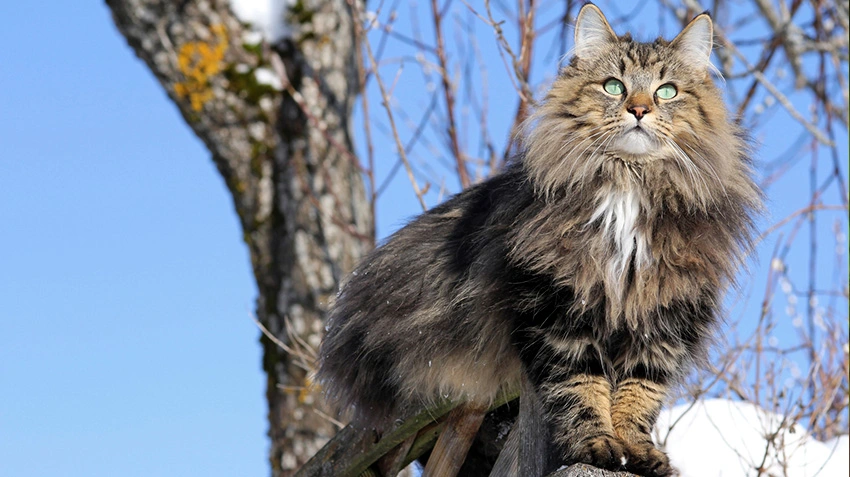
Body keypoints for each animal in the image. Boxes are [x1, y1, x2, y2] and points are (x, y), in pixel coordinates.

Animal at [314, 4, 760, 476]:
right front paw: (597, 444)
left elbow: (639, 396)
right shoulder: (557, 311)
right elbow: (581, 389)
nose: (639, 109)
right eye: (614, 86)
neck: (629, 184)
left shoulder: (663, 320)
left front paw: (637, 451)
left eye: (668, 91)